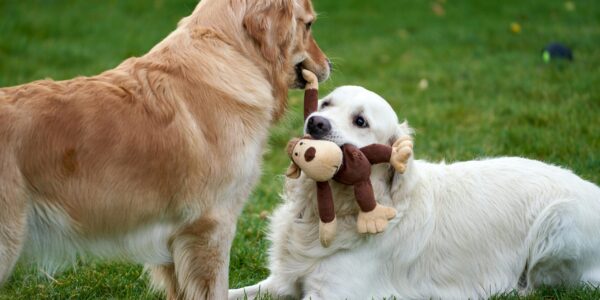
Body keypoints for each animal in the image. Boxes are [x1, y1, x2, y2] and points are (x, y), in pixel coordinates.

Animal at [230, 85, 600, 298]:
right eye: (325, 103)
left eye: (360, 121)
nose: (315, 122)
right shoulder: (280, 282)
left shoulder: (334, 293)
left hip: (558, 223)